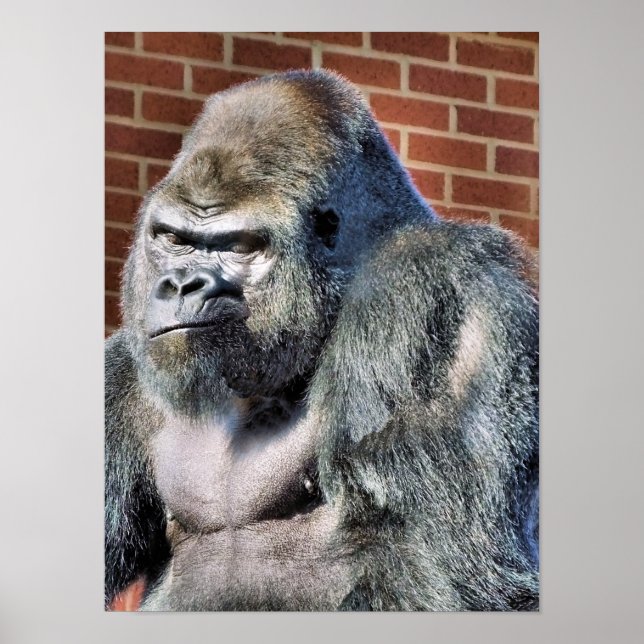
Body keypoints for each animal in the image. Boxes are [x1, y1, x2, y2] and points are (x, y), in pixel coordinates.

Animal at [105, 68, 539, 611]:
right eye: (173, 239)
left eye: (240, 247)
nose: (184, 284)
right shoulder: (120, 375)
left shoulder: (430, 287)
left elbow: (453, 573)